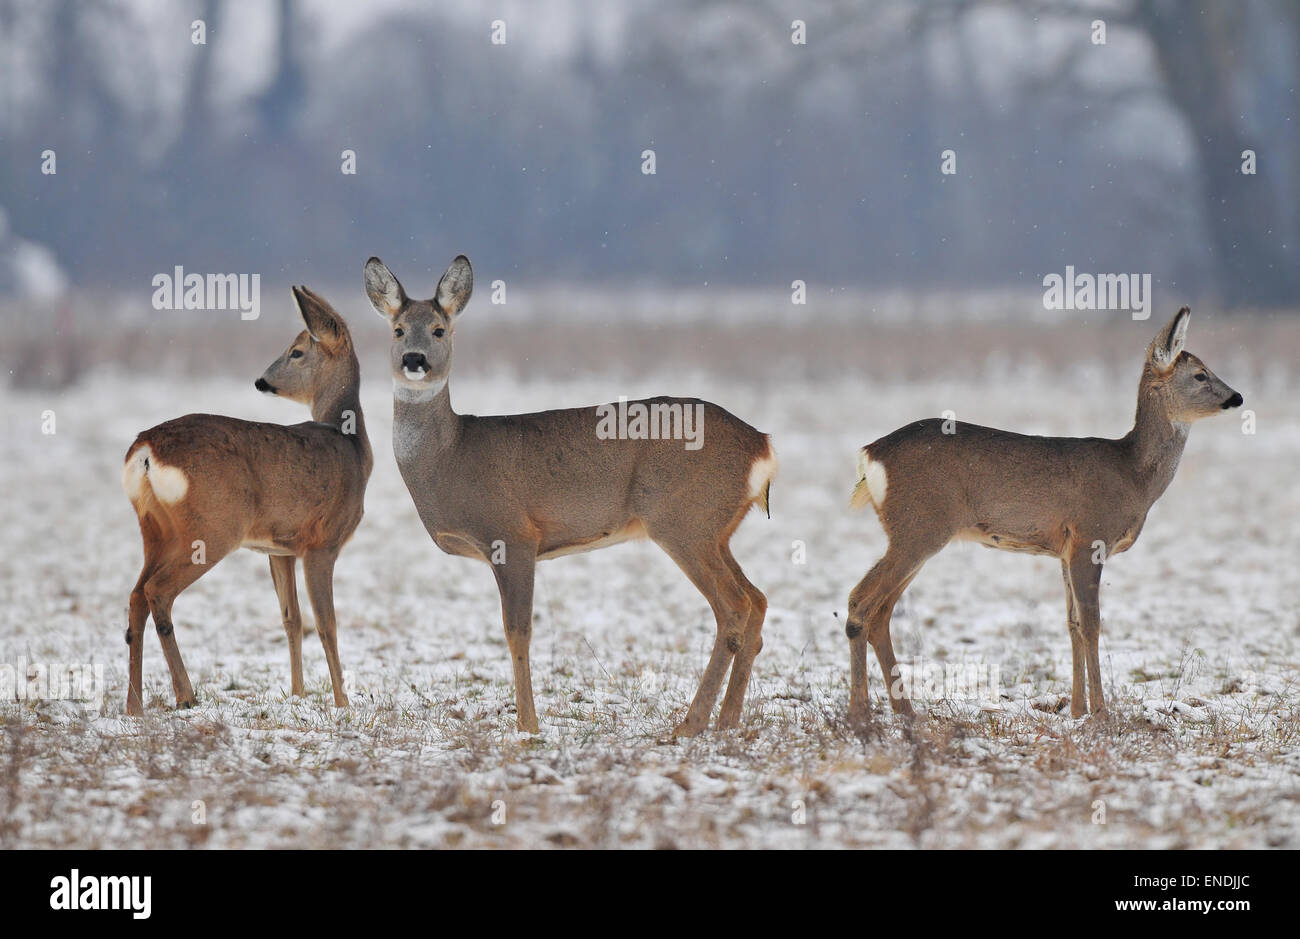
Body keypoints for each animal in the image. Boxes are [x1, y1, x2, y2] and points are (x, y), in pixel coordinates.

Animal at [120, 283, 371, 707]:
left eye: (296, 351)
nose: (261, 381)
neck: (351, 443)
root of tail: (146, 449)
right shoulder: (322, 542)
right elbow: (327, 624)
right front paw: (343, 703)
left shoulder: (279, 548)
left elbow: (292, 618)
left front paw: (298, 694)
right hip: (213, 527)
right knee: (158, 591)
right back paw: (185, 695)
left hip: (154, 528)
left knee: (137, 594)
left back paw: (134, 706)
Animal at [361, 253, 774, 733]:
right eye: (398, 329)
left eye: (439, 329)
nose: (415, 359)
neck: (450, 456)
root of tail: (761, 445)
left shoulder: (513, 535)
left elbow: (517, 631)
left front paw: (528, 725)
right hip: (716, 529)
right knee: (758, 600)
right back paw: (727, 721)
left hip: (683, 520)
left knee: (734, 607)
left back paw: (690, 724)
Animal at [847, 306, 1242, 717]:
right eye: (1200, 374)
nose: (1237, 397)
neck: (1132, 474)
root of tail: (870, 454)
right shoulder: (1090, 536)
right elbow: (1092, 624)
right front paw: (1101, 712)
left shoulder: (1064, 550)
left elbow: (1071, 624)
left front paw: (1077, 710)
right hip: (919, 526)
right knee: (860, 602)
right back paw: (861, 712)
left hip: (916, 533)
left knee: (880, 612)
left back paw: (905, 711)